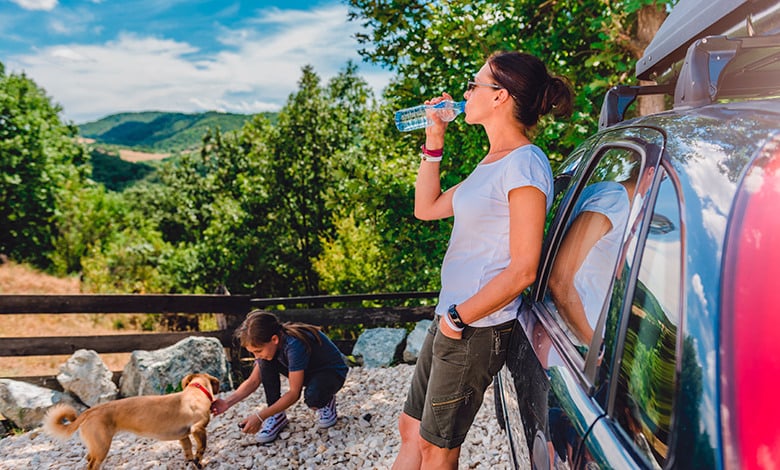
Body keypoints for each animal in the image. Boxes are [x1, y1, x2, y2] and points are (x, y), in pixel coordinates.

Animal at [45, 372, 219, 468]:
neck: (196, 391)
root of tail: (90, 410)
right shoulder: (198, 429)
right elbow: (201, 448)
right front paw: (200, 461)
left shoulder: (183, 437)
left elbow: (188, 451)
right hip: (102, 447)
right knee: (92, 465)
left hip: (96, 447)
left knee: (88, 459)